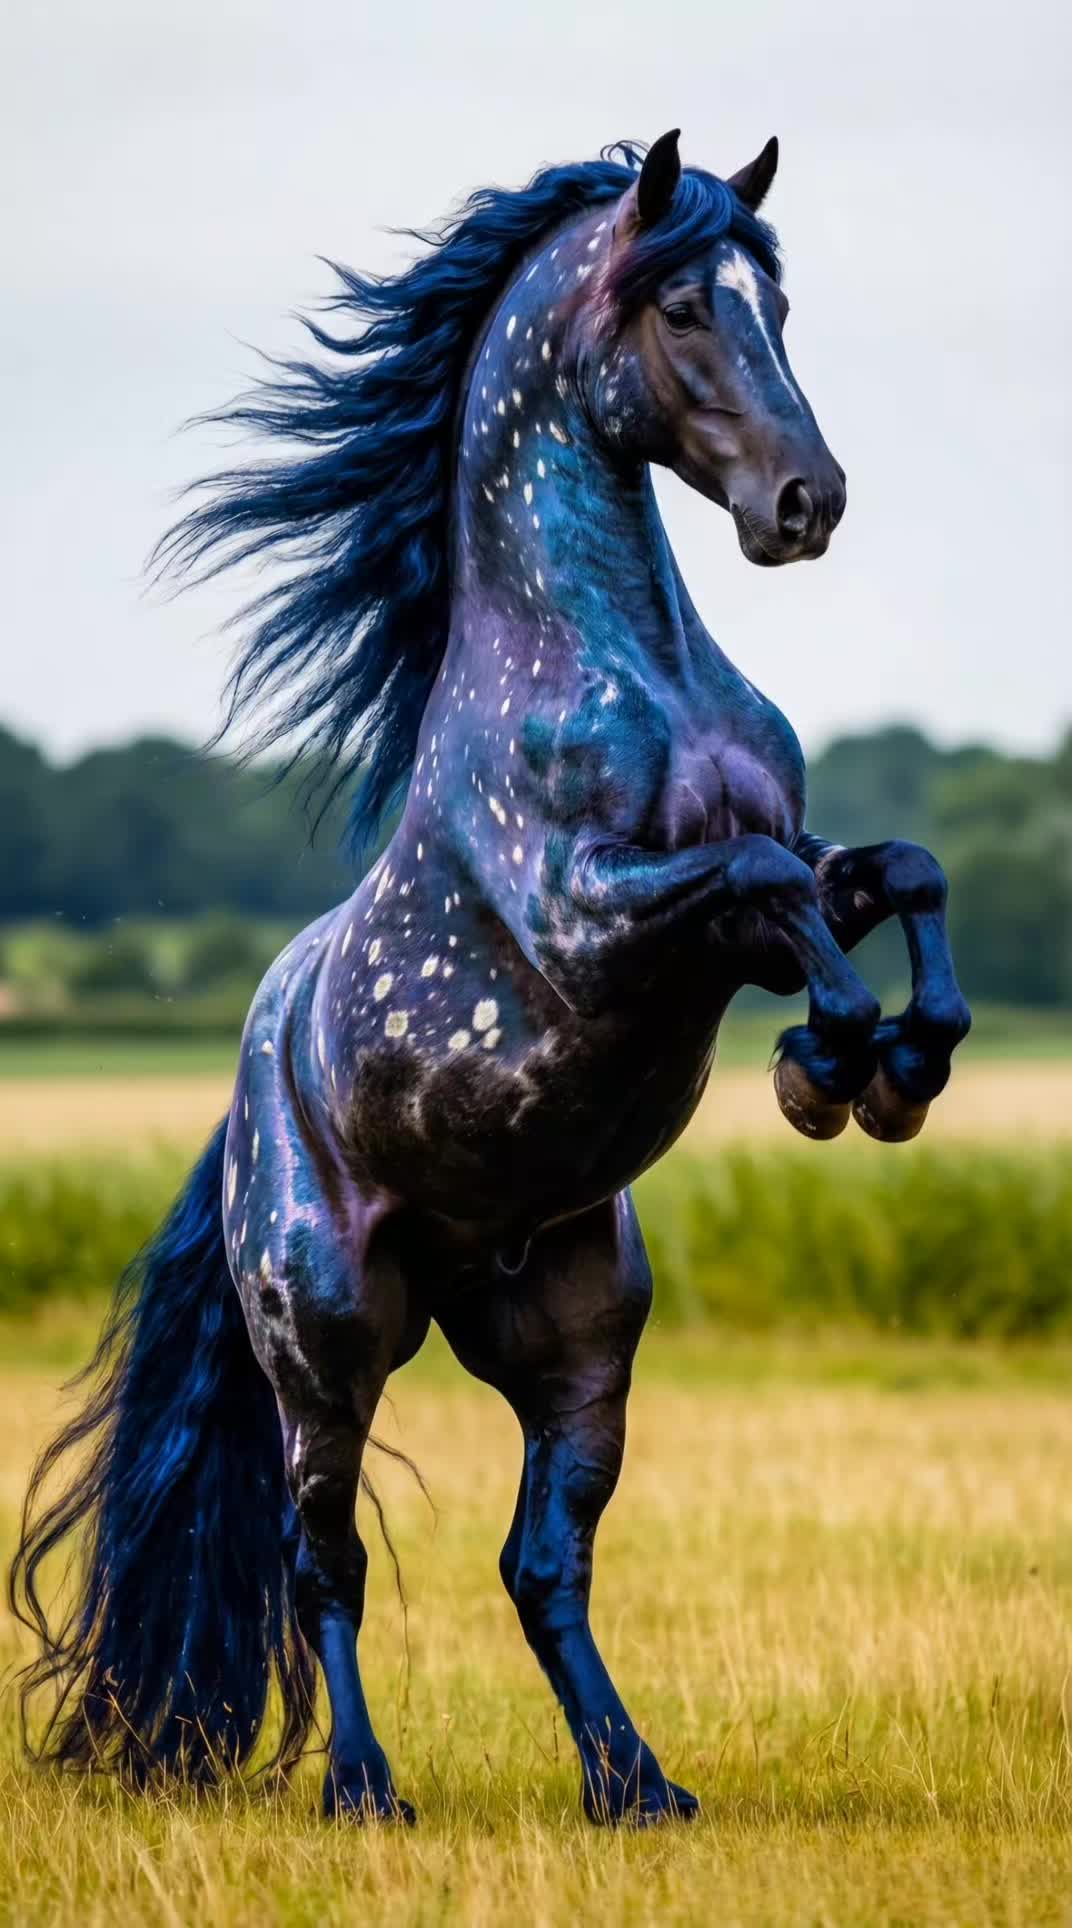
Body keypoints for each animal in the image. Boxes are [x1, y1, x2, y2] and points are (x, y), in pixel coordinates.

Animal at [10, 130, 971, 1827]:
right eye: (682, 306)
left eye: (778, 303)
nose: (810, 503)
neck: (629, 666)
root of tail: (246, 1099)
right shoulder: (591, 920)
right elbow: (773, 889)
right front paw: (833, 1074)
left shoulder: (754, 882)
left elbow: (890, 871)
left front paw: (909, 1064)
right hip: (327, 1339)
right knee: (320, 1560)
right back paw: (364, 1789)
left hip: (577, 1335)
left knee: (541, 1564)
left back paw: (636, 1784)